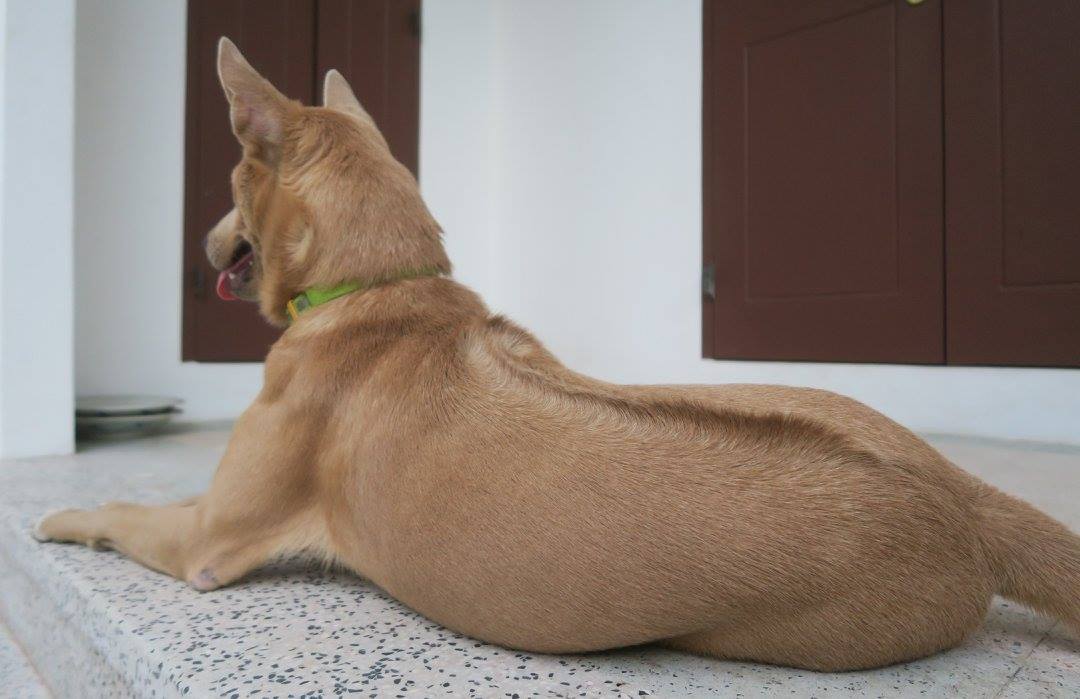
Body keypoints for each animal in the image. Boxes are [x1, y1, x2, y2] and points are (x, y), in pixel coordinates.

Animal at [35, 37, 1080, 672]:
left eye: (225, 184)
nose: (205, 242)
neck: (380, 283)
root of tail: (962, 497)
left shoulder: (208, 540)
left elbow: (126, 511)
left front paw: (58, 513)